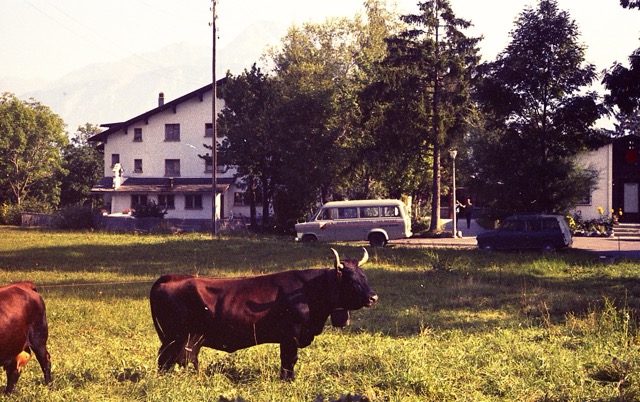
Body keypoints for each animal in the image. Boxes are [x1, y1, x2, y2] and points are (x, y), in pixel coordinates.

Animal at [150, 245, 378, 380]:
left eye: (364, 276)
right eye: (351, 280)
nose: (373, 297)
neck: (309, 291)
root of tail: (170, 277)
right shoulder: (290, 336)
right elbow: (289, 360)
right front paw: (288, 380)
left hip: (187, 339)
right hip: (178, 337)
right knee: (170, 360)